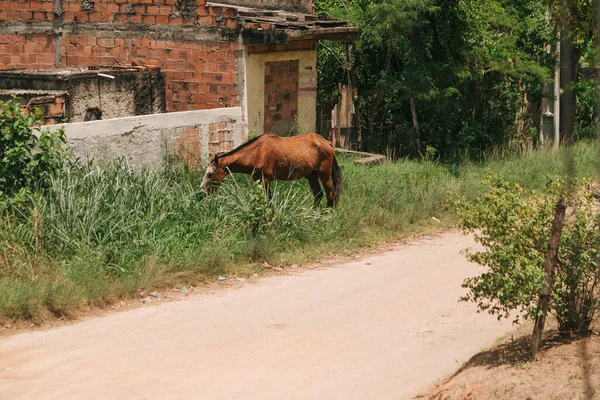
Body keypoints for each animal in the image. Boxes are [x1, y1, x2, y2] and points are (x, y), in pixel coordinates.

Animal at [202, 134, 342, 208]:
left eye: (210, 174)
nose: (203, 191)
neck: (256, 152)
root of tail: (327, 142)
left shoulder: (266, 181)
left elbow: (269, 201)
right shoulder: (258, 180)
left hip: (324, 175)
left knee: (330, 194)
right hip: (312, 176)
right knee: (318, 195)